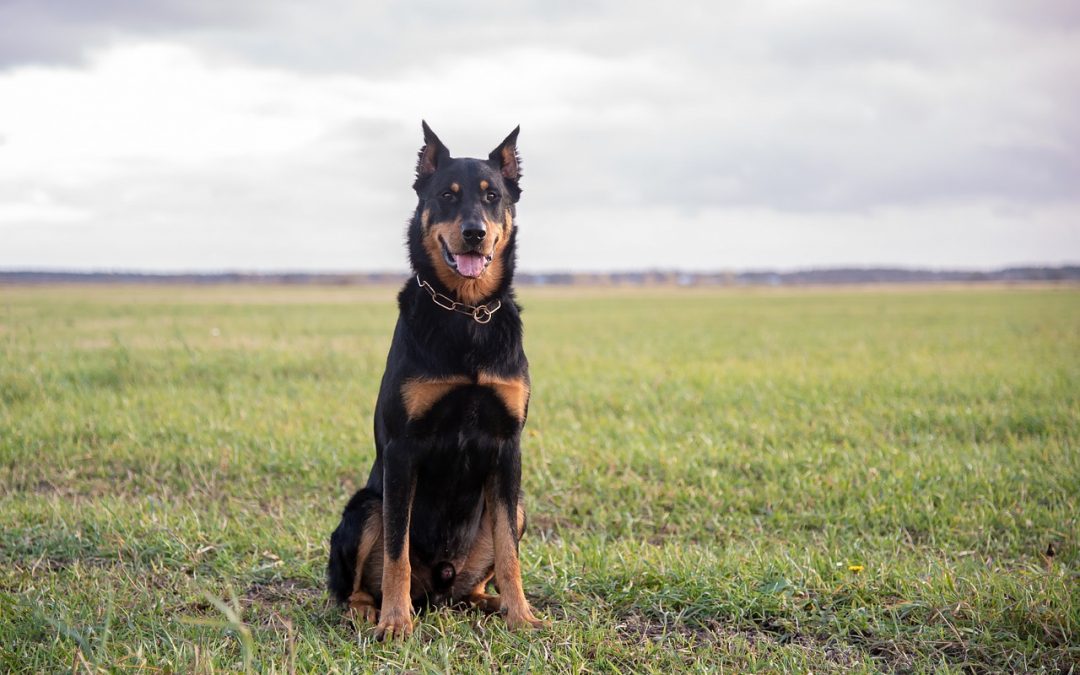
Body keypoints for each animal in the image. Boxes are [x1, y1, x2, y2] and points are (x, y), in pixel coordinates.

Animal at [324, 119, 544, 635]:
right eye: (446, 195)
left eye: (492, 196)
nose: (474, 233)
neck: (465, 312)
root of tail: (440, 587)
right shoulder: (403, 450)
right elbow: (397, 553)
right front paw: (395, 622)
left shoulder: (507, 447)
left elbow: (509, 551)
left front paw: (522, 615)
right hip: (365, 506)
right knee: (357, 583)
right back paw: (370, 611)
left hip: (517, 507)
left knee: (477, 581)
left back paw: (493, 602)